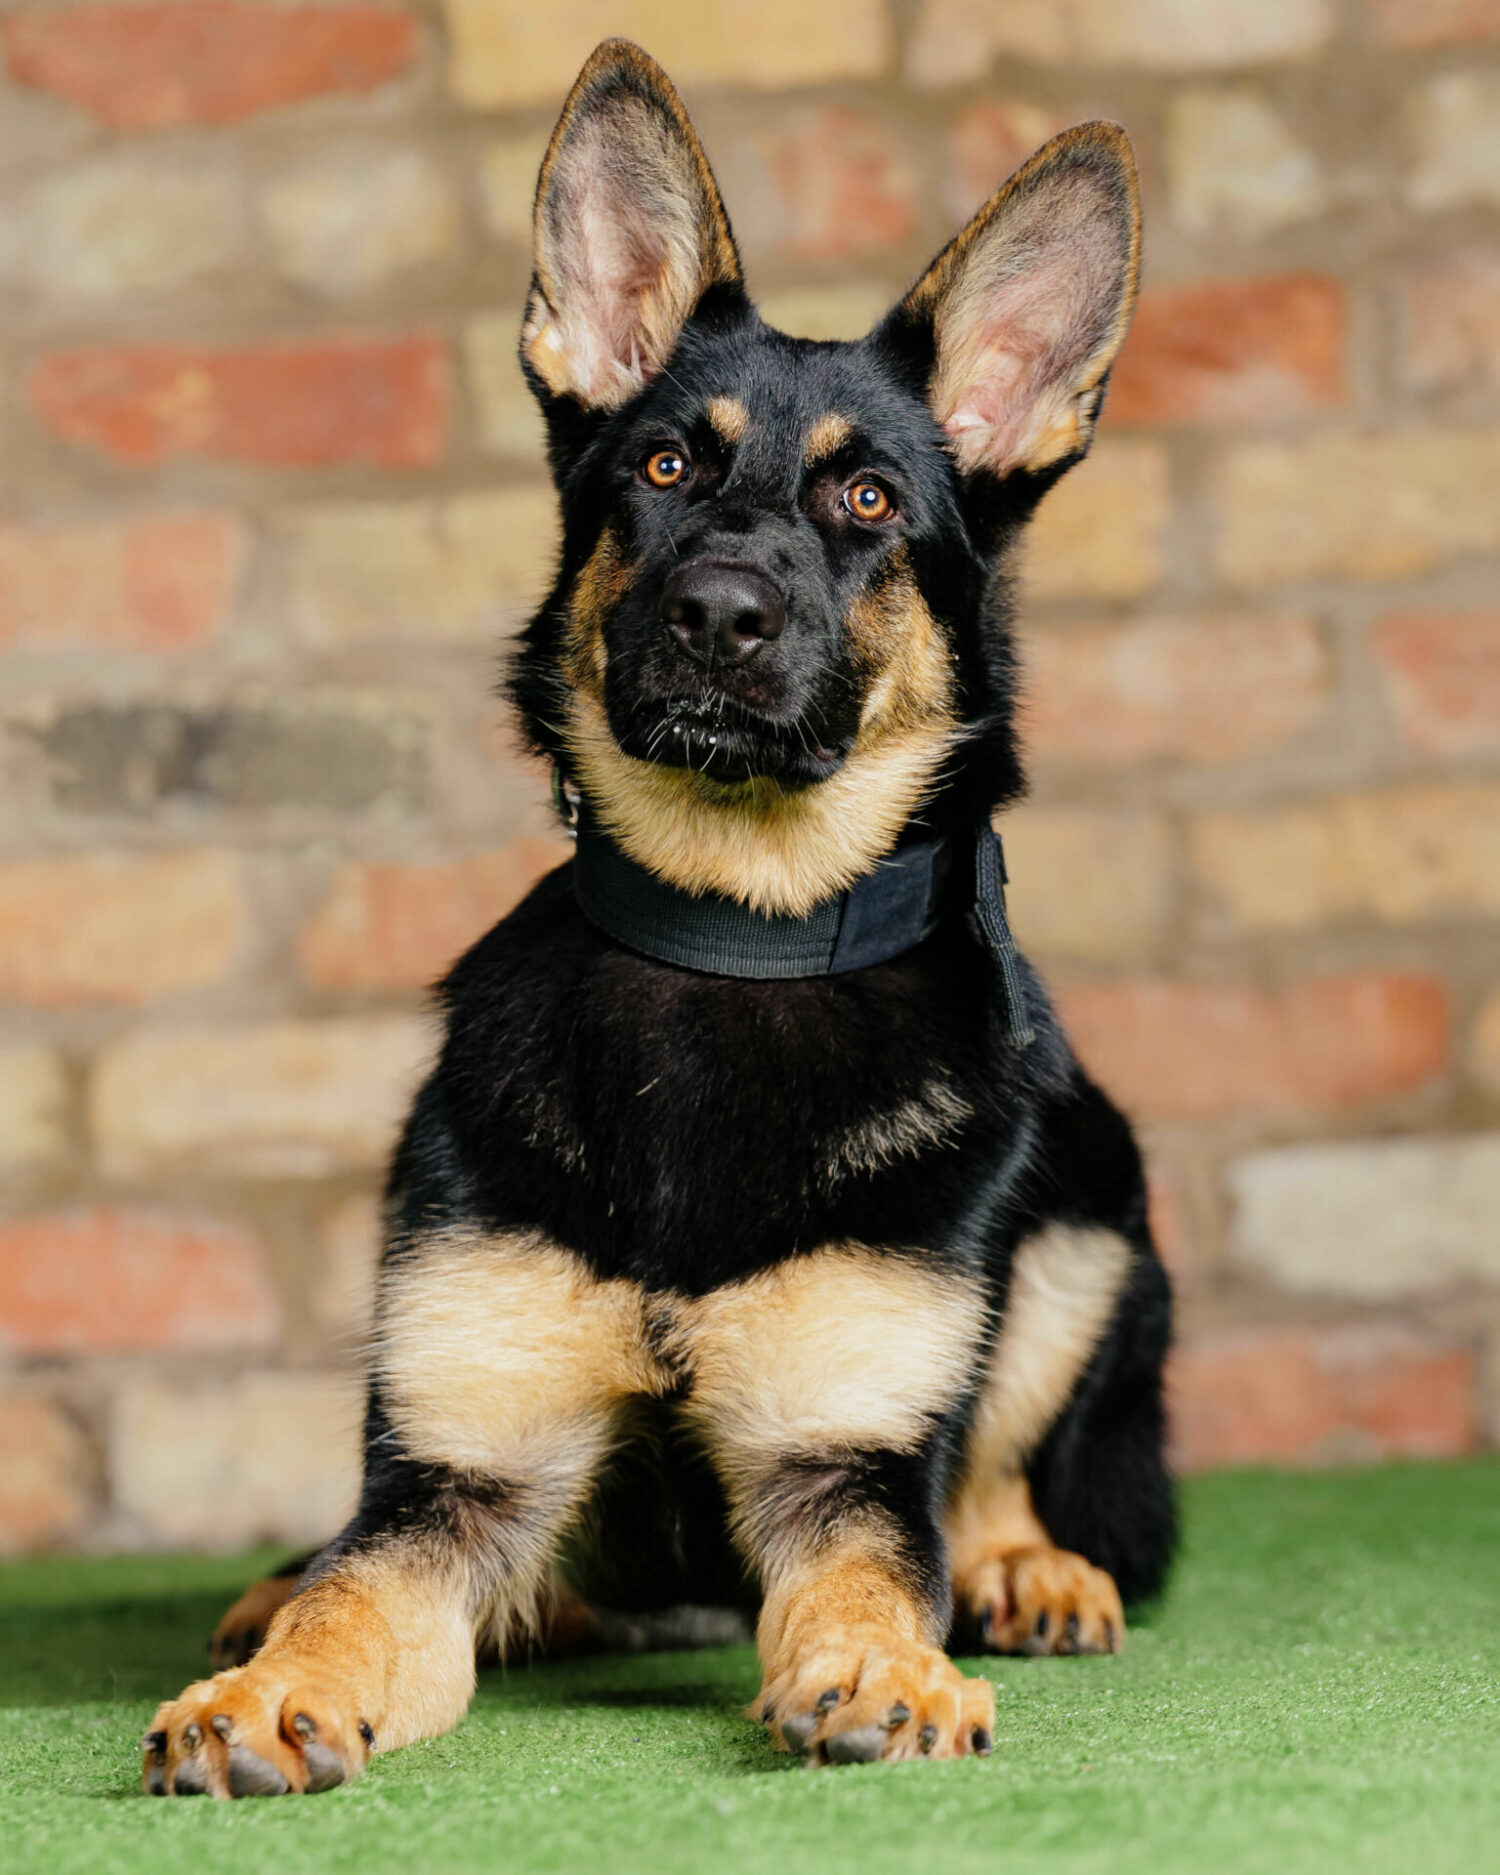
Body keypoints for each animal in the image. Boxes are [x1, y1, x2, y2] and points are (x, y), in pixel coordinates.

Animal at [142, 39, 1174, 1797]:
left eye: (870, 498)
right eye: (666, 467)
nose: (716, 614)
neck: (730, 929)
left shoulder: (843, 1458)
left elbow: (876, 1572)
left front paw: (887, 1663)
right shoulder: (464, 1466)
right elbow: (361, 1588)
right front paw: (274, 1681)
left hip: (1094, 1216)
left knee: (998, 1470)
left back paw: (1029, 1567)